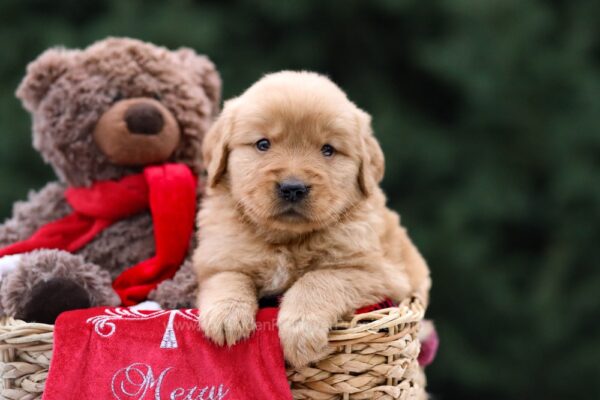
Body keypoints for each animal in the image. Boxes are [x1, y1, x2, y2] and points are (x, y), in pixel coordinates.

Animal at [195, 70, 428, 368]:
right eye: (262, 144)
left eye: (328, 150)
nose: (293, 187)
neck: (286, 240)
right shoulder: (217, 257)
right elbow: (229, 277)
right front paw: (226, 317)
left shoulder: (378, 273)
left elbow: (318, 279)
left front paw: (300, 331)